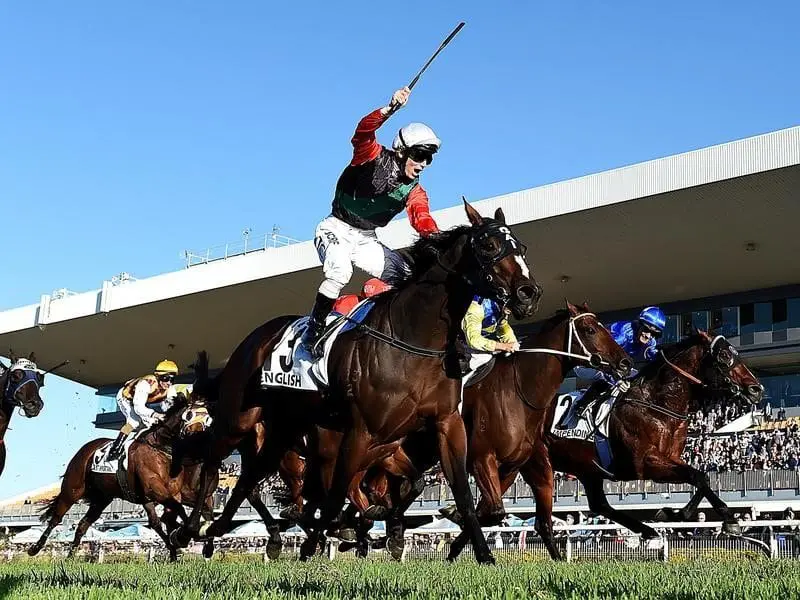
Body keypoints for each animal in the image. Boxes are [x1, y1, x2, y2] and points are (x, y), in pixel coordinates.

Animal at [28, 392, 217, 560]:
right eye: (189, 415)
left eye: (208, 420)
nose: (200, 441)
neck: (162, 449)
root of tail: (86, 449)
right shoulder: (154, 489)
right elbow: (177, 512)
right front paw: (186, 534)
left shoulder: (170, 493)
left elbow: (175, 514)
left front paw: (187, 538)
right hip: (73, 489)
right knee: (56, 518)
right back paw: (35, 548)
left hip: (102, 499)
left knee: (83, 524)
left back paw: (70, 556)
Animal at [300, 202, 544, 564]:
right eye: (488, 245)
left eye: (522, 248)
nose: (528, 294)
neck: (414, 338)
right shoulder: (364, 430)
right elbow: (342, 494)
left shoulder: (447, 422)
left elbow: (462, 494)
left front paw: (482, 553)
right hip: (335, 443)